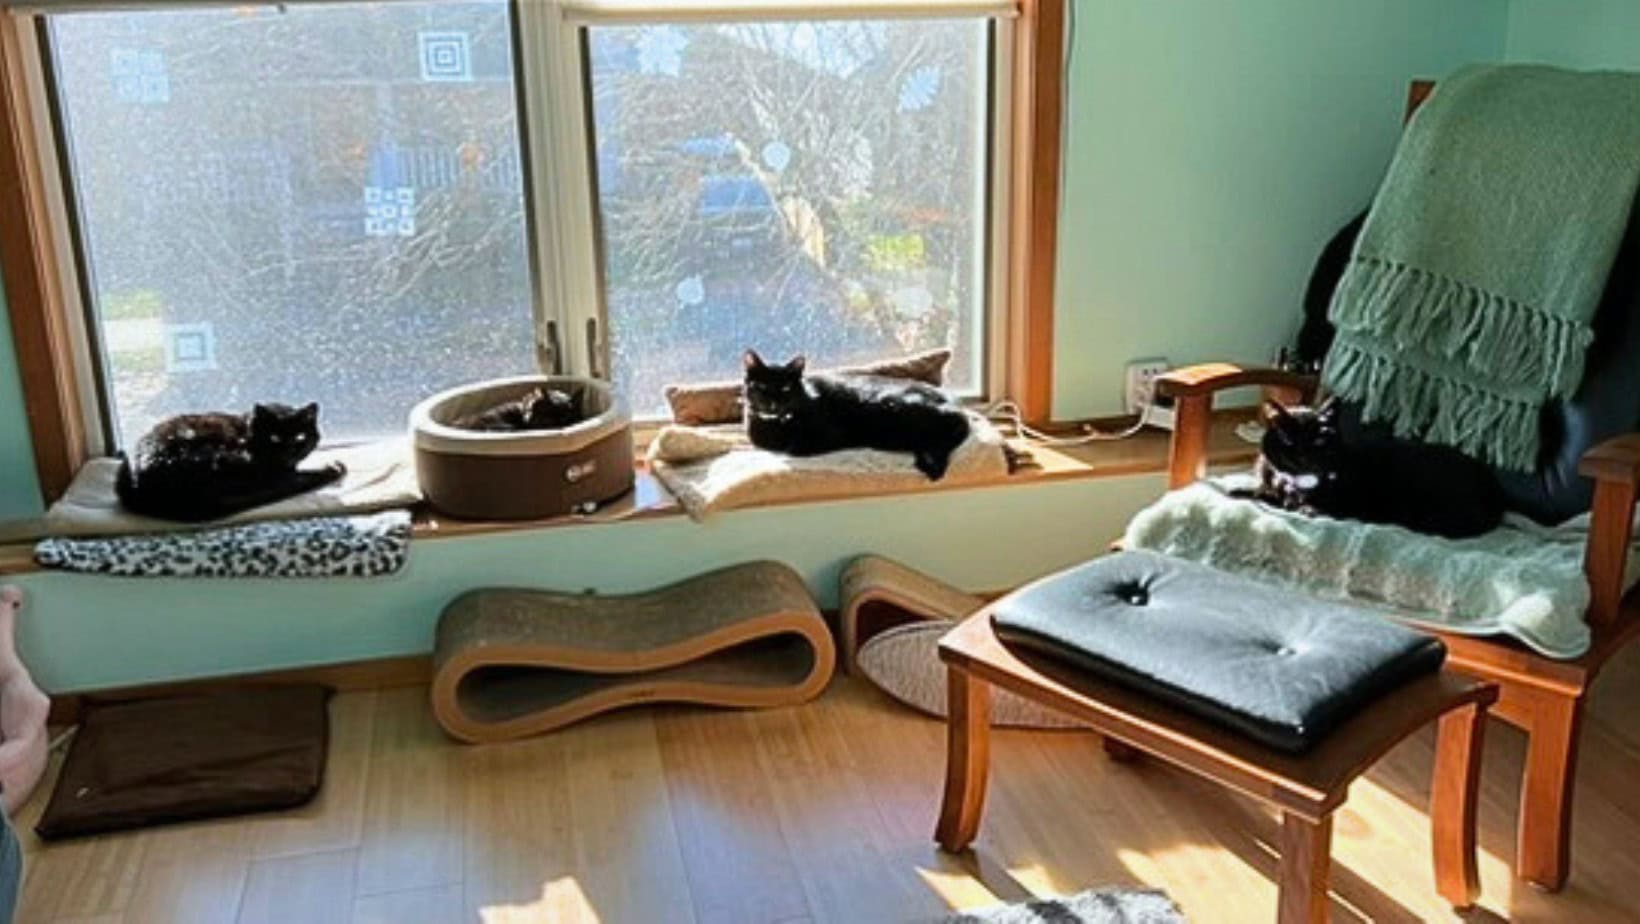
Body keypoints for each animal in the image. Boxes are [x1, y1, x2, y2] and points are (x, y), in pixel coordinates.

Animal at [118, 403, 346, 525]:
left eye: (300, 437)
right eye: (274, 438)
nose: (288, 453)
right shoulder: (273, 473)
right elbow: (301, 475)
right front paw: (331, 468)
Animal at [744, 347, 970, 475]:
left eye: (785, 388)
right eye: (761, 387)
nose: (772, 402)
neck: (772, 422)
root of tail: (956, 407)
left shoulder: (827, 435)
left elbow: (792, 447)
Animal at [1246, 398, 1502, 541]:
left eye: (1318, 441)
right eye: (1288, 440)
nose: (1303, 457)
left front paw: (1302, 507)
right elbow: (1261, 492)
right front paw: (1245, 492)